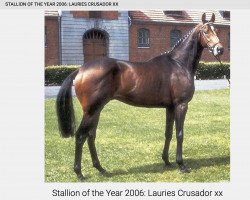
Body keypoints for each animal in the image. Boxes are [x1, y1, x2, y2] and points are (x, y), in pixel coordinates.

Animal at [56, 13, 223, 180]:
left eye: (216, 30)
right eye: (205, 31)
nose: (219, 49)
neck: (178, 64)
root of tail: (80, 70)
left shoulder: (170, 107)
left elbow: (168, 133)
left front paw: (167, 161)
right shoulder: (181, 105)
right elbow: (179, 134)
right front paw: (181, 165)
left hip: (97, 109)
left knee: (90, 136)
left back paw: (100, 168)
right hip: (90, 111)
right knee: (80, 136)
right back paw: (79, 173)